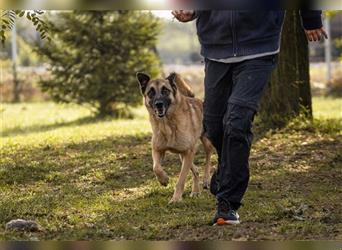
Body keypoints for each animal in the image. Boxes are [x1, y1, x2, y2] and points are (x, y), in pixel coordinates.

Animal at [136, 72, 214, 203]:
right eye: (151, 92)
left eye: (165, 90)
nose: (159, 104)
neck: (167, 125)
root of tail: (197, 99)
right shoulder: (158, 150)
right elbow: (156, 167)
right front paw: (164, 180)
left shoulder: (189, 151)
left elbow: (181, 179)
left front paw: (176, 199)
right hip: (182, 155)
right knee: (196, 170)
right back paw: (195, 191)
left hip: (204, 142)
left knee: (208, 156)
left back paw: (206, 179)